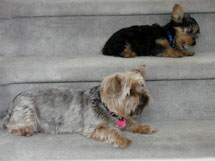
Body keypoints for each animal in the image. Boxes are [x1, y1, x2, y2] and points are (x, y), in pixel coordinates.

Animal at [0, 66, 157, 148]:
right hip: (27, 111)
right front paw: (122, 139)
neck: (106, 108)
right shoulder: (92, 128)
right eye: (130, 92)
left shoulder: (122, 118)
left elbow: (131, 122)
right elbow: (110, 131)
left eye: (142, 87)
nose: (145, 97)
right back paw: (24, 131)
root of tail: (12, 102)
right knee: (12, 125)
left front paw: (145, 127)